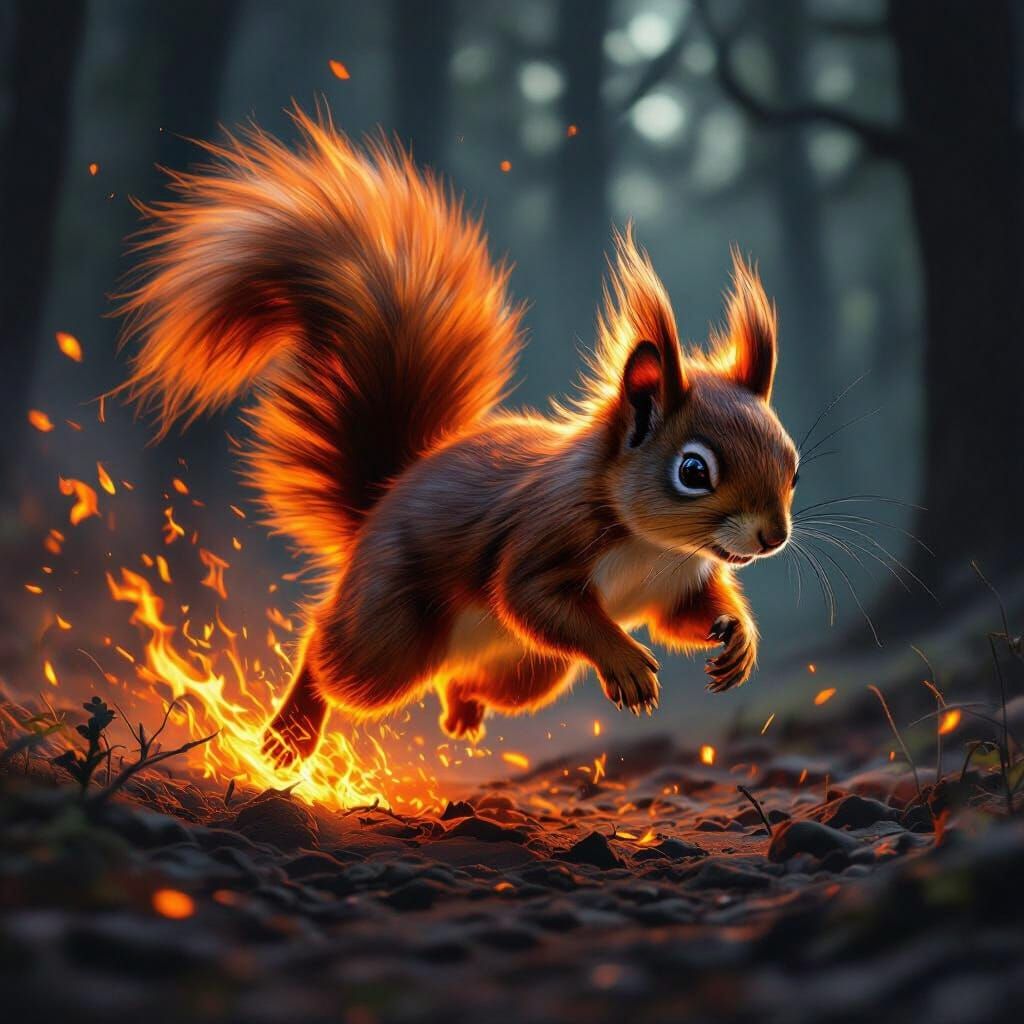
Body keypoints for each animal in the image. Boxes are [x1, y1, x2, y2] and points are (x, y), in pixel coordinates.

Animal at [116, 107, 798, 768]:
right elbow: (528, 594)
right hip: (389, 634)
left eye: (792, 465)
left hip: (532, 670)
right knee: (330, 654)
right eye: (693, 471)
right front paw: (626, 660)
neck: (653, 547)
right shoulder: (547, 534)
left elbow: (682, 617)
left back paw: (462, 708)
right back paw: (293, 732)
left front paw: (738, 636)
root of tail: (378, 507)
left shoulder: (676, 585)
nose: (773, 537)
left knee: (467, 681)